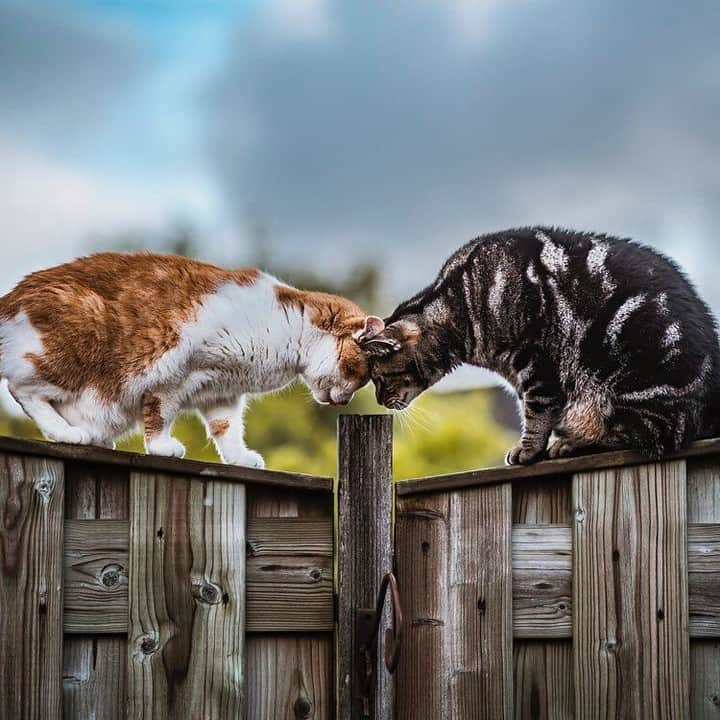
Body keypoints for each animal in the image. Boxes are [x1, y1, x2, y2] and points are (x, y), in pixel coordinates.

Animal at [0, 252, 376, 466]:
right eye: (355, 376)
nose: (343, 401)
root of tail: (11, 298)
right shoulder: (173, 375)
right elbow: (160, 416)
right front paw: (163, 447)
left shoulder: (223, 391)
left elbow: (227, 429)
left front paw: (240, 458)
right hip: (76, 342)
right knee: (22, 389)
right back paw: (67, 432)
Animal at [356, 231, 720, 466]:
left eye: (379, 379)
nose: (379, 400)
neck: (460, 303)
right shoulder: (522, 373)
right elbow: (532, 409)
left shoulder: (534, 361)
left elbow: (537, 411)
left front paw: (529, 449)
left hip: (629, 380)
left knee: (647, 434)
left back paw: (574, 442)